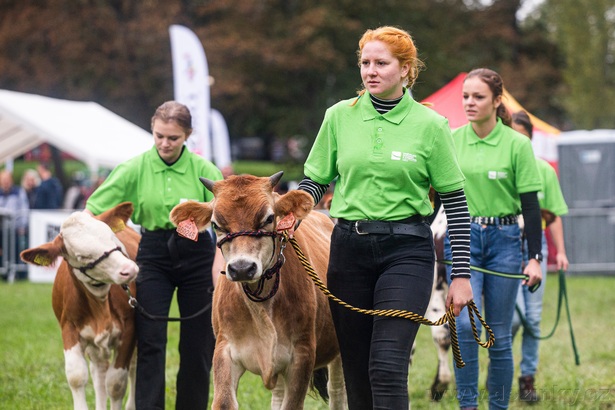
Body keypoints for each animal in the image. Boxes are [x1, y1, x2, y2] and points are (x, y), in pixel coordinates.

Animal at [20, 203, 140, 410]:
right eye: (83, 256)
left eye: (111, 236)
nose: (129, 269)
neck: (100, 304)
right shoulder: (69, 329)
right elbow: (77, 376)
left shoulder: (129, 329)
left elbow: (116, 383)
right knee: (99, 371)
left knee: (132, 366)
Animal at [171, 172, 346, 410]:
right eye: (216, 224)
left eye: (269, 218)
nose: (242, 268)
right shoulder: (225, 349)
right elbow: (224, 402)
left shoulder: (302, 355)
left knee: (337, 392)